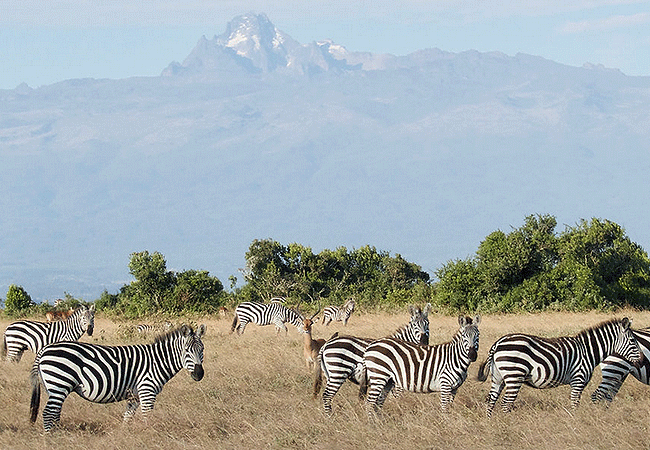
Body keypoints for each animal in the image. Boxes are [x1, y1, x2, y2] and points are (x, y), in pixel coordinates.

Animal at [29, 324, 206, 432]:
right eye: (186, 350)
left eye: (202, 349)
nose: (199, 374)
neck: (157, 361)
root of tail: (45, 349)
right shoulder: (147, 390)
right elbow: (147, 417)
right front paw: (149, 434)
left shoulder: (135, 395)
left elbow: (127, 418)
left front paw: (125, 435)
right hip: (59, 384)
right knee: (48, 413)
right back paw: (51, 438)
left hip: (53, 387)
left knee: (54, 413)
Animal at [477, 317, 642, 417]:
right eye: (633, 341)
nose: (641, 362)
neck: (588, 351)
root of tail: (498, 343)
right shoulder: (578, 380)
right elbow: (575, 404)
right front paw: (575, 422)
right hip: (514, 375)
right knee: (506, 403)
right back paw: (508, 424)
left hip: (498, 377)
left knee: (491, 400)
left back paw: (492, 424)